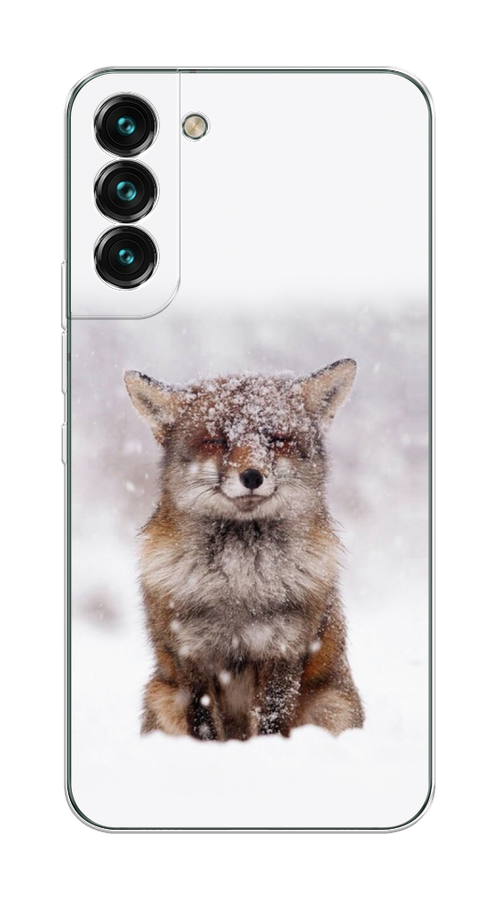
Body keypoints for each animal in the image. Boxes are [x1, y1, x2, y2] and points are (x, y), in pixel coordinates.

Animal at [124, 359, 364, 741]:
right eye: (217, 441)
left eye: (277, 439)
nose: (252, 476)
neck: (238, 583)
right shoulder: (190, 652)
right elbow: (204, 723)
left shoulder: (284, 648)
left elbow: (271, 720)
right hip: (160, 695)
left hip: (331, 705)